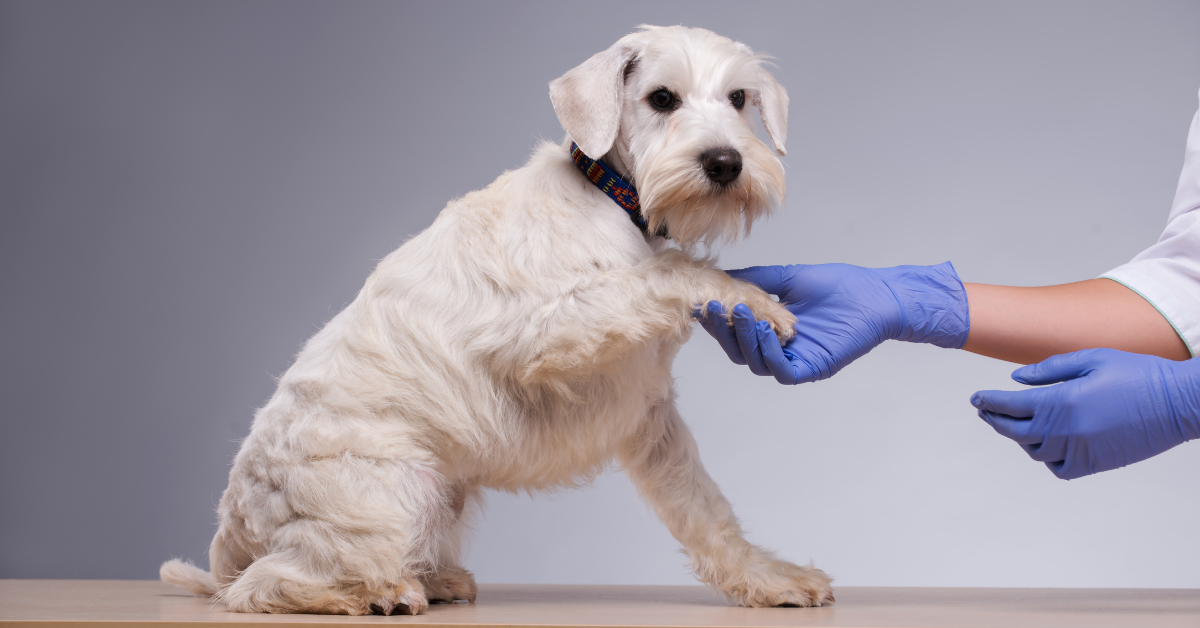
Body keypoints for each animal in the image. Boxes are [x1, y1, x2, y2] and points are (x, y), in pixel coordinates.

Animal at [162, 23, 835, 614]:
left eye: (739, 97)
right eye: (661, 98)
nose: (725, 163)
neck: (612, 196)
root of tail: (233, 529)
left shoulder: (650, 414)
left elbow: (703, 506)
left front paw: (770, 579)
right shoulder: (547, 332)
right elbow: (670, 272)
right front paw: (759, 302)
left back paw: (429, 579)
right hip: (394, 493)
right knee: (264, 586)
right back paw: (375, 593)